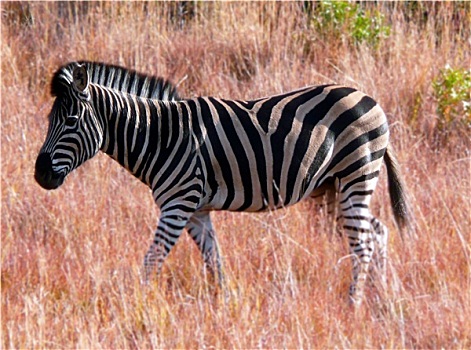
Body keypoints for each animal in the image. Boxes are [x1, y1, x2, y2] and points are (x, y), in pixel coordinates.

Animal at [35, 61, 410, 304]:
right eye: (50, 120)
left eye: (71, 120)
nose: (40, 175)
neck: (159, 137)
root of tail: (370, 99)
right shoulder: (196, 211)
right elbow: (214, 261)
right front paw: (227, 304)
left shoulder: (178, 204)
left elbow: (151, 261)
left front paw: (132, 306)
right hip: (331, 189)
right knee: (377, 232)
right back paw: (380, 297)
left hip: (355, 175)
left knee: (362, 244)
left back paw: (354, 304)